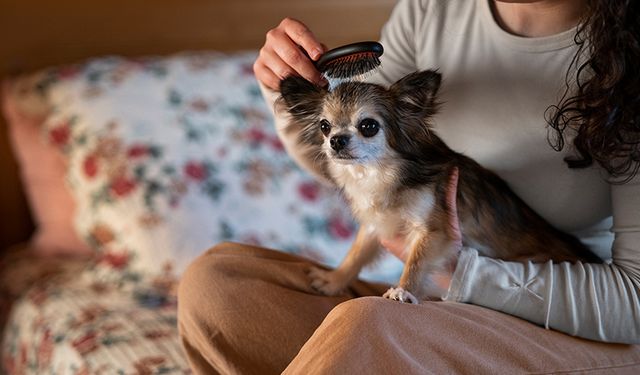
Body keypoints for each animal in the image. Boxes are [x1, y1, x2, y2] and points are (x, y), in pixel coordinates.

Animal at [276, 70, 600, 304]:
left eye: (368, 126)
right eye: (324, 126)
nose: (336, 140)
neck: (379, 172)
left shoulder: (434, 230)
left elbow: (416, 262)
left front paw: (404, 290)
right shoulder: (375, 225)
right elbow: (355, 254)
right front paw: (333, 280)